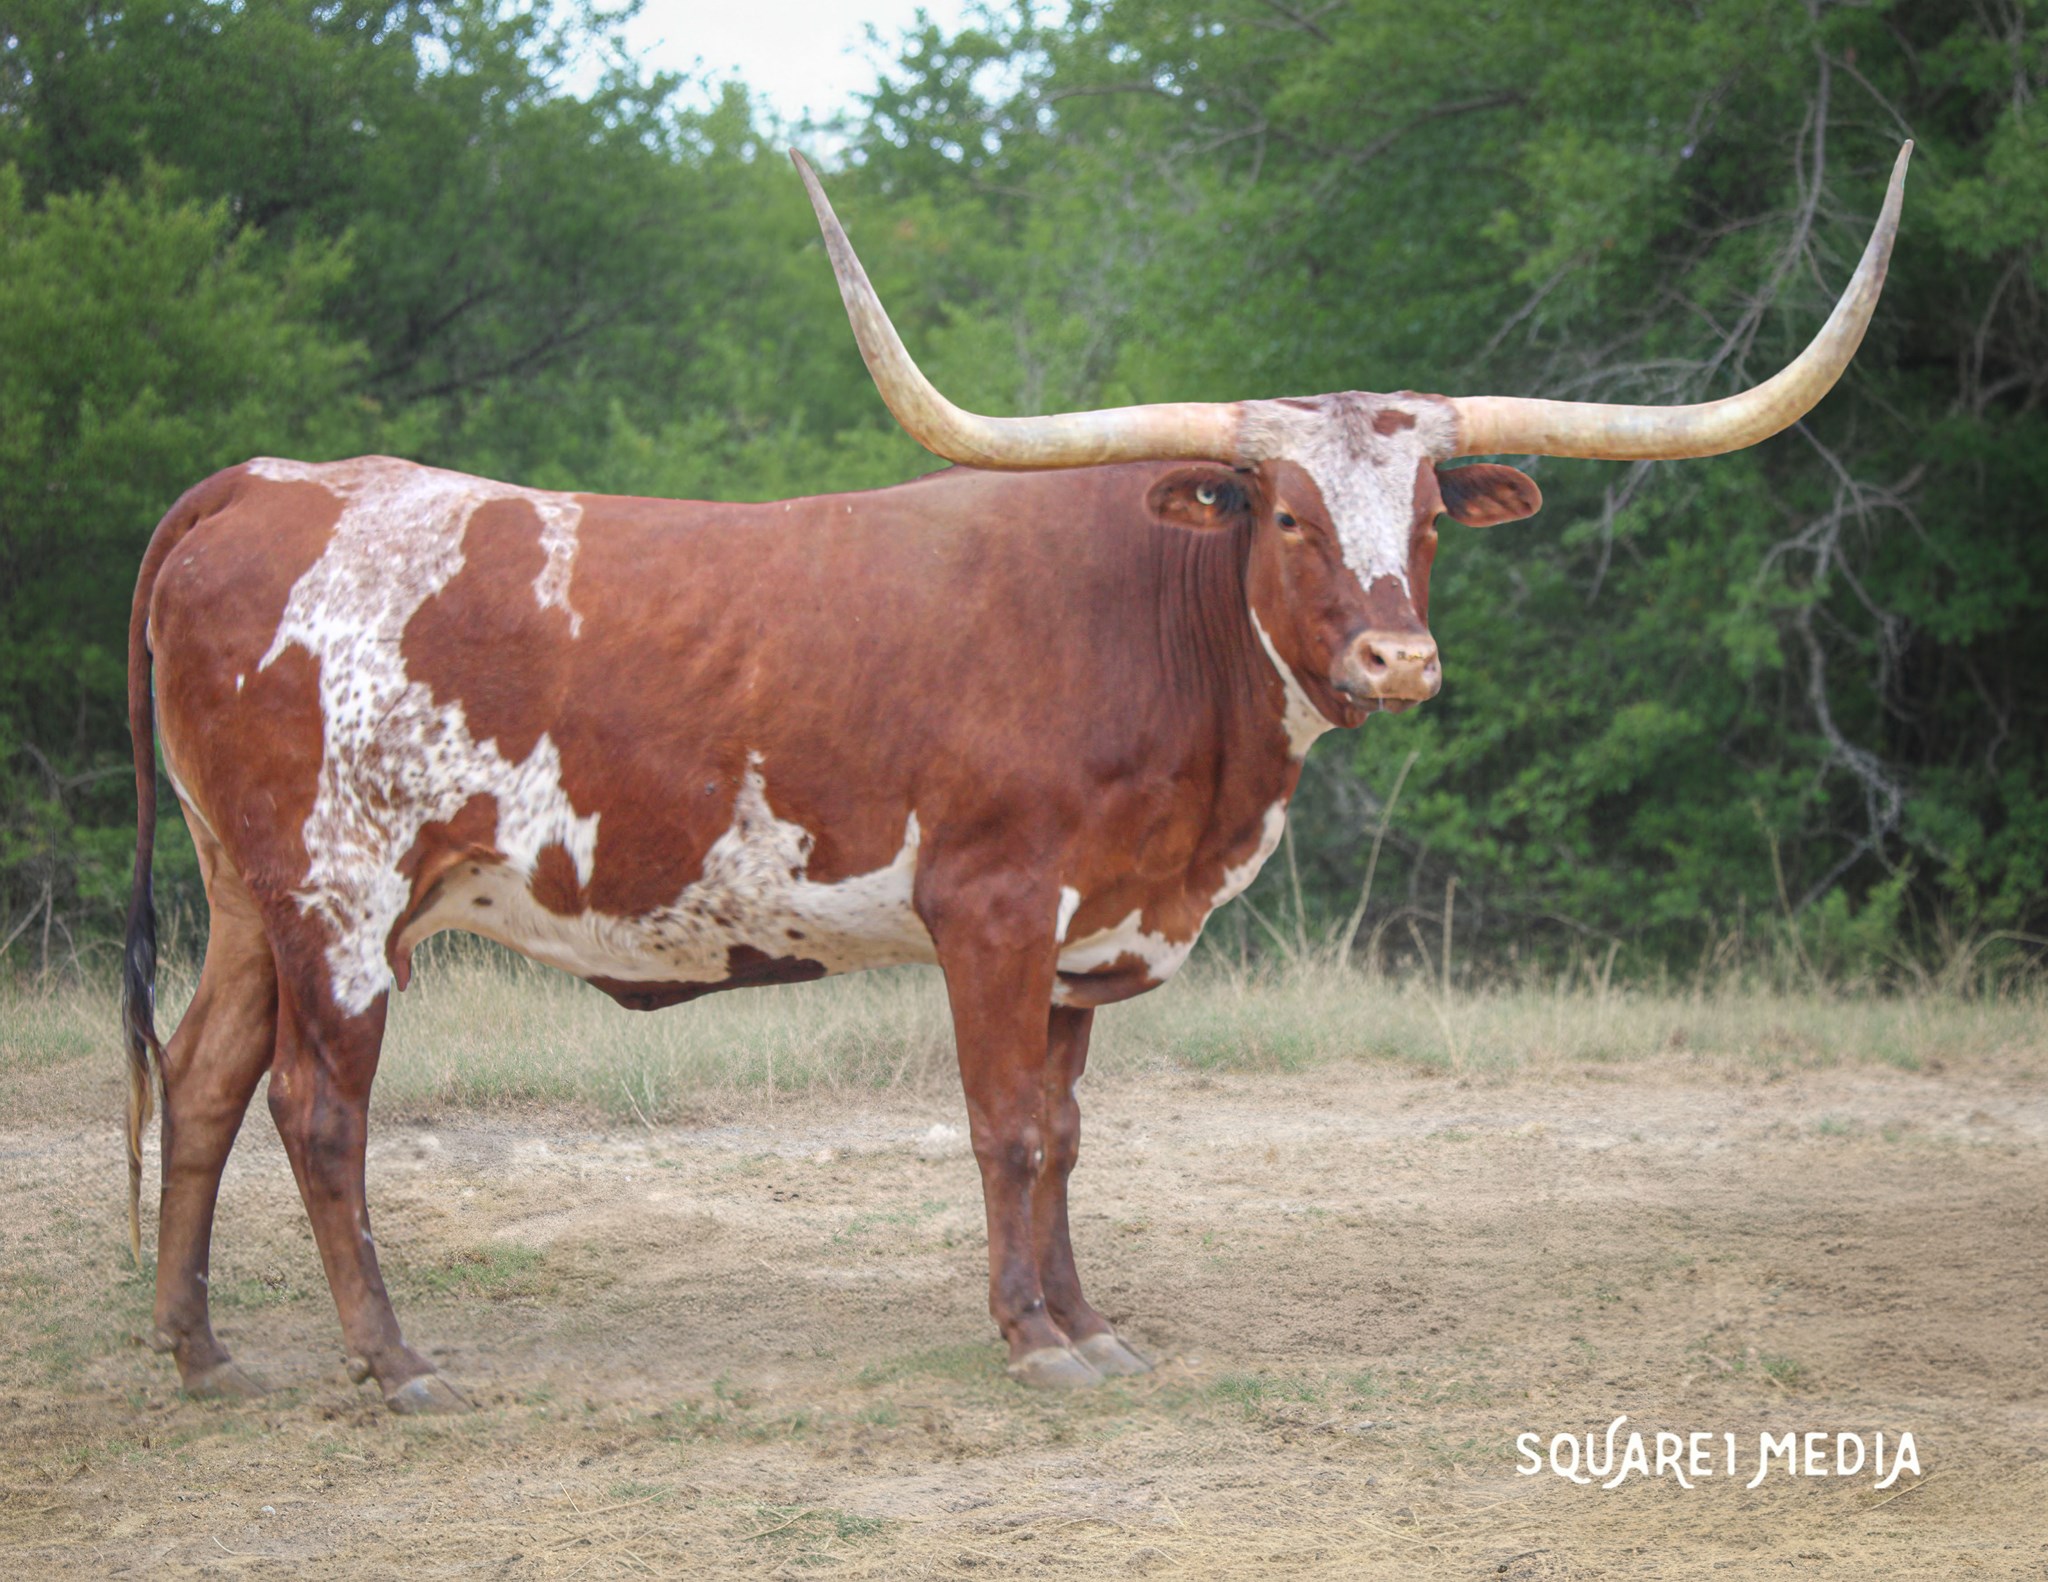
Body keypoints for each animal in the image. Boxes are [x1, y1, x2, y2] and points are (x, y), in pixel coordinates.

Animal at [120, 145, 1909, 1410]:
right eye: (1285, 514)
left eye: (1425, 518)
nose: (1400, 661)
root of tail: (264, 482)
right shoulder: (988, 909)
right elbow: (998, 1128)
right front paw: (1028, 1340)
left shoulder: (1080, 936)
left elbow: (1063, 1130)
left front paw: (1089, 1321)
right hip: (340, 896)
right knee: (318, 1107)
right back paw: (394, 1360)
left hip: (245, 892)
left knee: (201, 1077)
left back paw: (200, 1353)